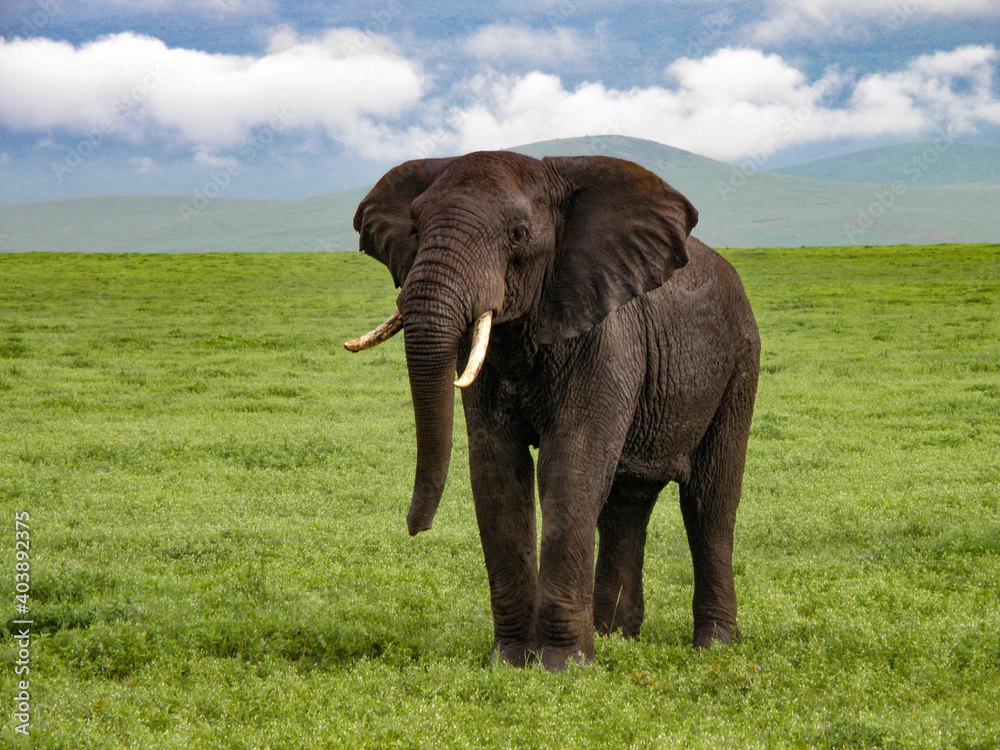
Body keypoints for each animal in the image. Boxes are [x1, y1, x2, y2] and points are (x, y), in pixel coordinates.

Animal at [345, 150, 760, 671]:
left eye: (519, 235)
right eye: (415, 229)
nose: (414, 528)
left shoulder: (606, 337)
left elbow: (570, 466)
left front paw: (563, 666)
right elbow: (496, 471)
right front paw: (510, 660)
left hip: (739, 363)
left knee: (709, 501)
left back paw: (713, 644)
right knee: (625, 503)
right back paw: (613, 635)